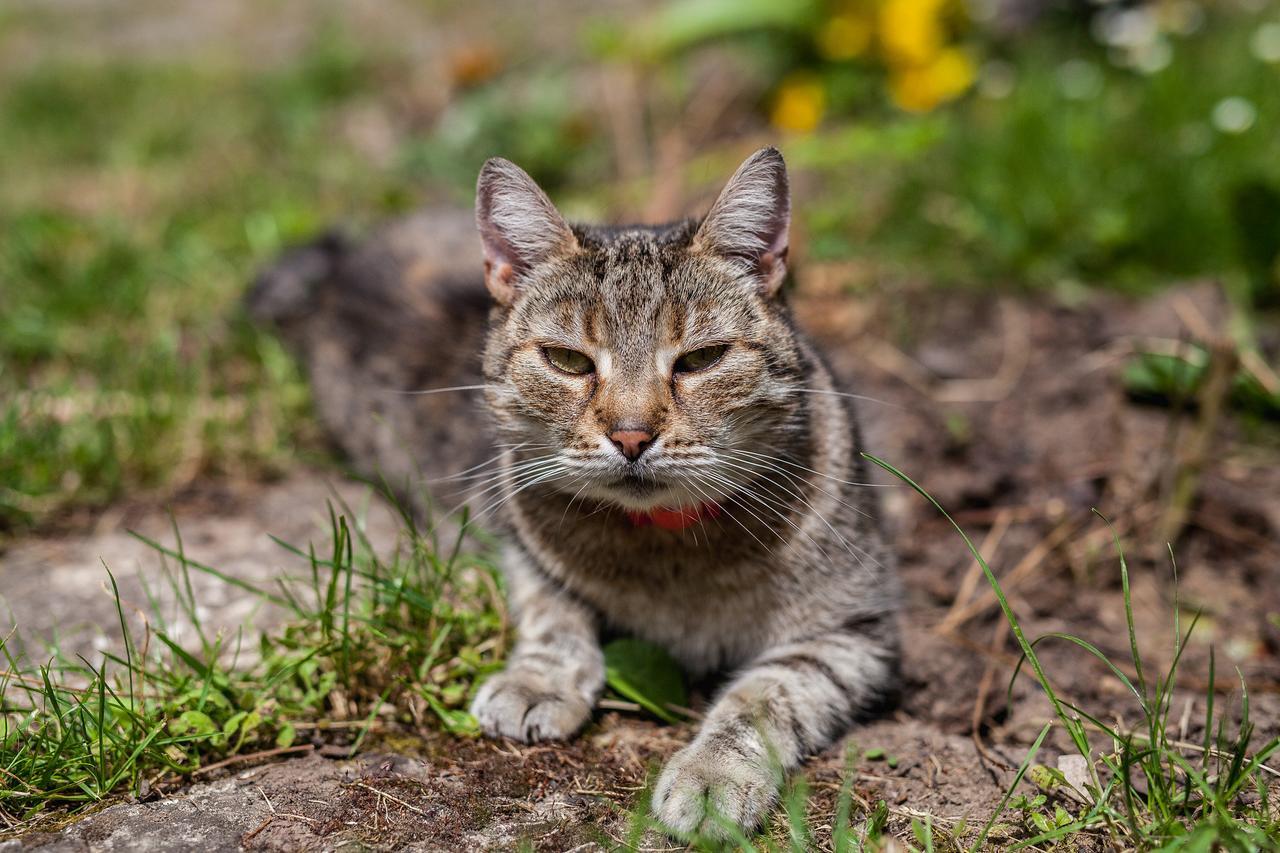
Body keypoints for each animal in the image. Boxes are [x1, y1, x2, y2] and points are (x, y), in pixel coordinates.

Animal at [249, 147, 901, 835]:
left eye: (702, 360)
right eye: (568, 361)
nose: (632, 435)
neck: (668, 555)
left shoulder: (856, 631)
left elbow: (764, 697)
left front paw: (712, 774)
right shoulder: (508, 530)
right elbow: (553, 612)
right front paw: (540, 681)